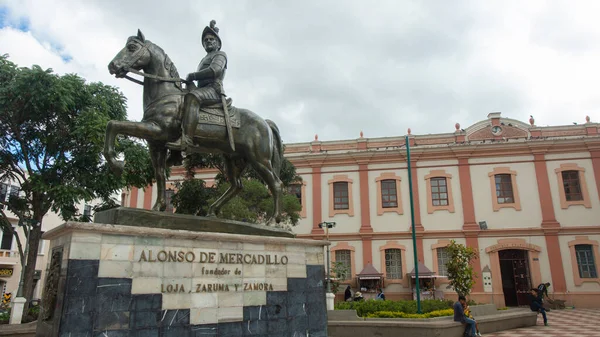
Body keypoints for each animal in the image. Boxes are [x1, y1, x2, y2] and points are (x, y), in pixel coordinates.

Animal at [104, 29, 284, 223]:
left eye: (131, 47)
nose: (112, 66)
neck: (165, 94)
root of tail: (264, 122)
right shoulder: (156, 143)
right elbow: (159, 174)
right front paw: (158, 207)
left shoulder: (156, 130)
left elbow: (114, 125)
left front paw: (116, 164)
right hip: (233, 158)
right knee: (237, 185)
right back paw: (212, 210)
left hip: (259, 159)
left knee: (276, 184)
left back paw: (273, 220)